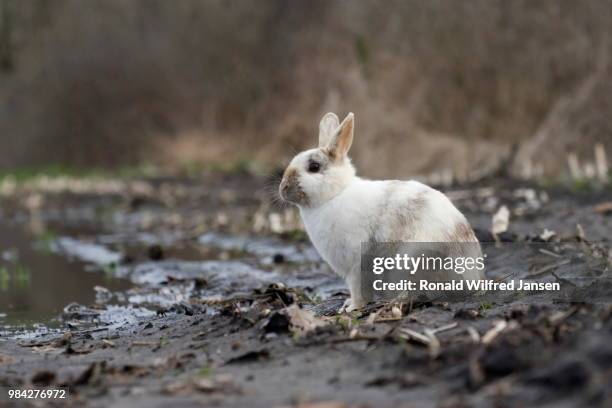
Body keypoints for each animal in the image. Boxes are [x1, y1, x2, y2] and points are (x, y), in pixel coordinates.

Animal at [280, 111, 486, 312]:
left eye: (314, 167)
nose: (283, 188)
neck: (334, 195)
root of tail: (471, 278)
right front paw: (348, 304)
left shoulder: (356, 263)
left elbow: (358, 289)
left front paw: (352, 307)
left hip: (412, 260)